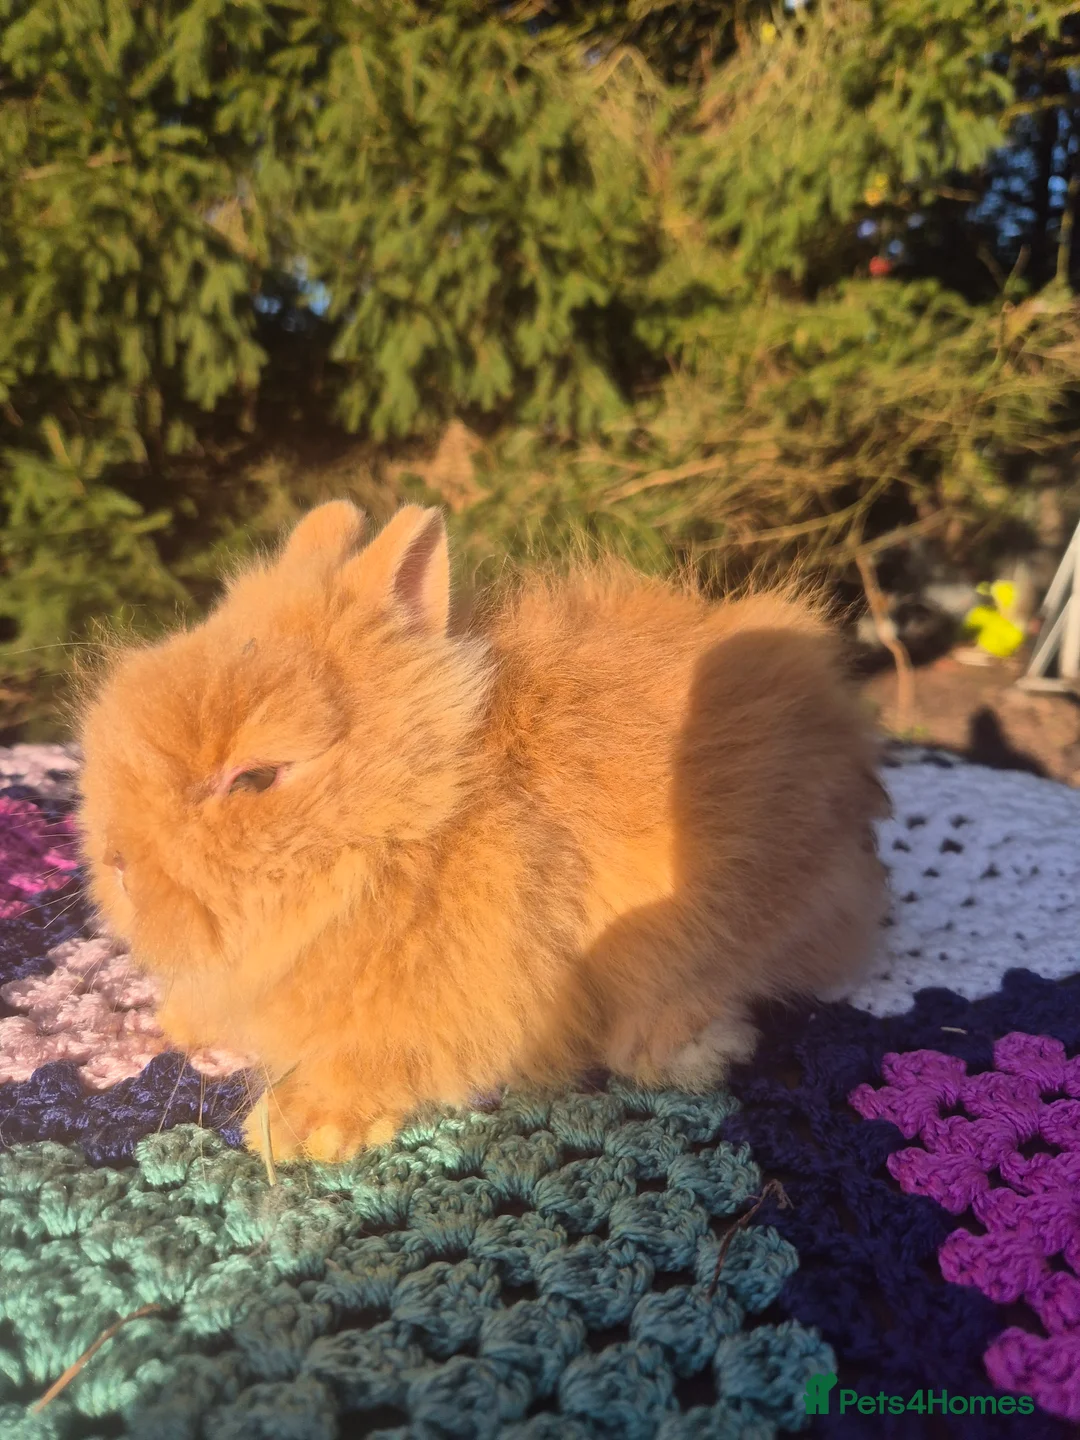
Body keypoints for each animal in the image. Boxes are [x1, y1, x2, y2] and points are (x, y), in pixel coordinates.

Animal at [77, 501, 889, 1162]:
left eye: (253, 780)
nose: (117, 864)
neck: (415, 830)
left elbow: (372, 1057)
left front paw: (299, 1130)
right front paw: (181, 1020)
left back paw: (676, 1051)